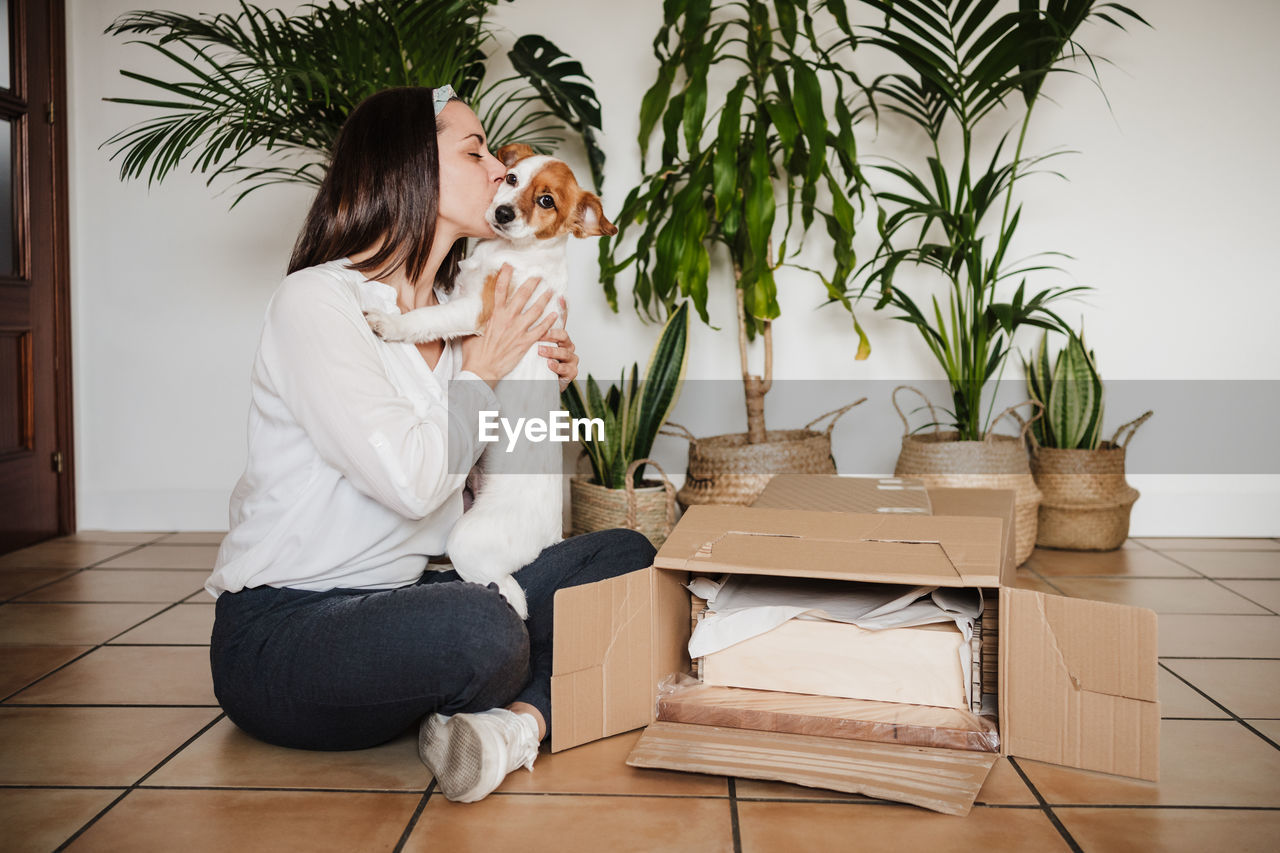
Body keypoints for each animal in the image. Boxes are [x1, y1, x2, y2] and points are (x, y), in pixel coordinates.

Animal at [363, 142, 616, 614]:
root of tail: (548, 538)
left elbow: (427, 318)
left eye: (546, 201)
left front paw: (392, 323)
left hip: (470, 538)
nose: (501, 212)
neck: (509, 251)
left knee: (505, 588)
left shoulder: (474, 309)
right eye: (511, 179)